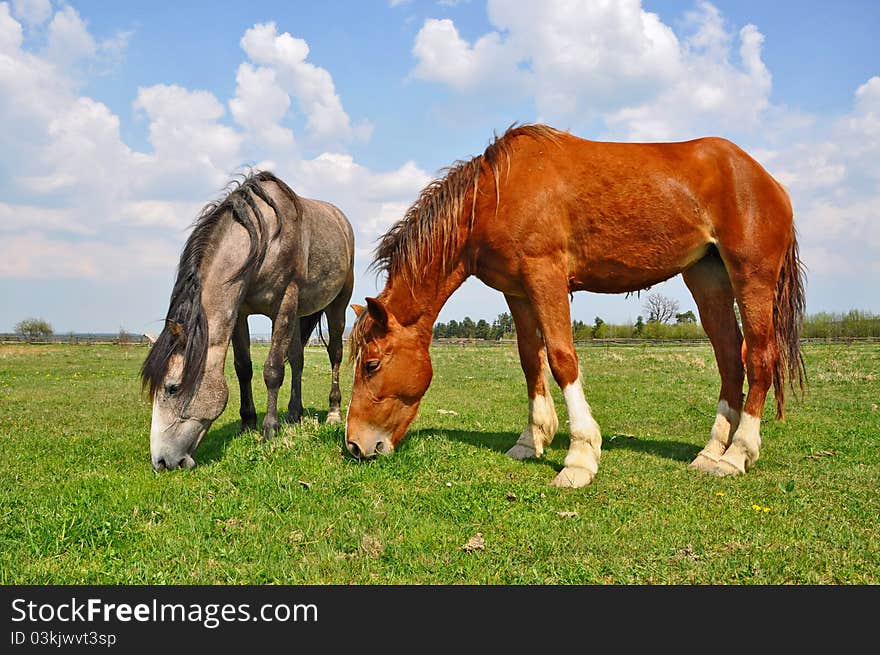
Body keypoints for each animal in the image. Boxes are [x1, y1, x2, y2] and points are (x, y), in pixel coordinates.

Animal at [141, 172, 354, 472]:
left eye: (172, 388)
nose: (162, 461)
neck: (264, 241)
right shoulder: (240, 313)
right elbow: (244, 368)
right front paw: (247, 423)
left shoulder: (283, 303)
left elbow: (273, 370)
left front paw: (269, 430)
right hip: (299, 315)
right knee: (297, 360)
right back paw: (294, 414)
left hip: (337, 305)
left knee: (334, 353)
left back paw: (333, 412)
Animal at [346, 125, 804, 490]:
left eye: (371, 364)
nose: (354, 445)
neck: (496, 194)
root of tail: (769, 181)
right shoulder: (518, 291)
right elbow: (530, 359)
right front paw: (532, 440)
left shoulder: (545, 276)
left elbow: (562, 358)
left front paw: (580, 457)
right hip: (707, 279)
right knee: (729, 359)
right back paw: (710, 453)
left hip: (751, 278)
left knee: (759, 358)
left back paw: (737, 455)